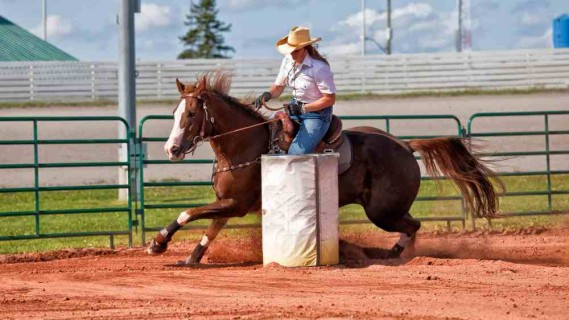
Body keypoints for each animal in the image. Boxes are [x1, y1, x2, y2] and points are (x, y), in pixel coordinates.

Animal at [148, 72, 502, 264]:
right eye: (175, 113)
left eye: (191, 114)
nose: (171, 149)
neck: (244, 144)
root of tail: (405, 145)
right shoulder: (227, 205)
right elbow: (208, 230)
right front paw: (188, 258)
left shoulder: (235, 204)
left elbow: (188, 213)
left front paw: (158, 243)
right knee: (411, 226)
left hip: (383, 211)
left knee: (412, 226)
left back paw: (391, 254)